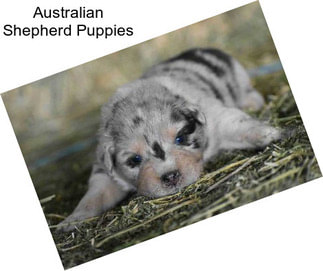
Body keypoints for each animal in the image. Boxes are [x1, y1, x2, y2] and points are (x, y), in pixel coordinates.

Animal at [59, 48, 282, 232]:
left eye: (181, 138)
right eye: (135, 160)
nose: (171, 177)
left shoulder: (216, 117)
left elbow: (239, 124)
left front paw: (269, 133)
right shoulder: (104, 171)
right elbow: (95, 195)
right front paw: (71, 221)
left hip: (240, 80)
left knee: (251, 95)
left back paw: (251, 103)